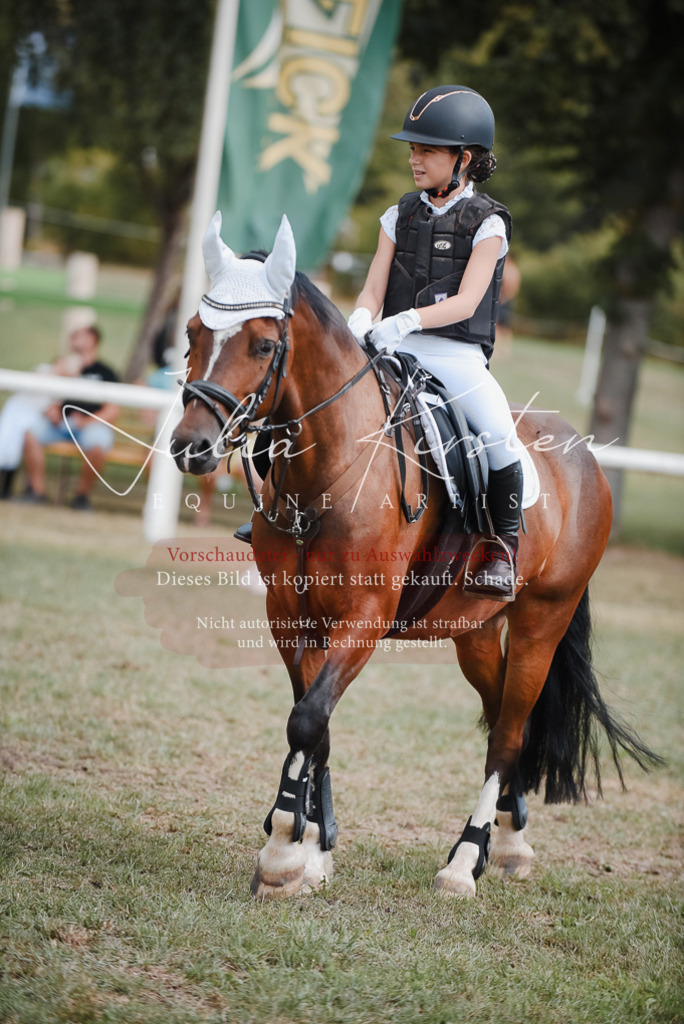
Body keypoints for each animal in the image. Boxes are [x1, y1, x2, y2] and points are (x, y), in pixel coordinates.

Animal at [170, 213, 659, 899]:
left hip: (542, 618)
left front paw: (282, 854)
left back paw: (465, 861)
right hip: (472, 629)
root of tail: (582, 455)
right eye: (193, 333)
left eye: (264, 346)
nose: (191, 447)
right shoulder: (289, 614)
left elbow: (307, 720)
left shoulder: (364, 617)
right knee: (500, 715)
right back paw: (509, 840)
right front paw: (313, 851)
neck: (330, 470)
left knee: (509, 731)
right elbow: (315, 723)